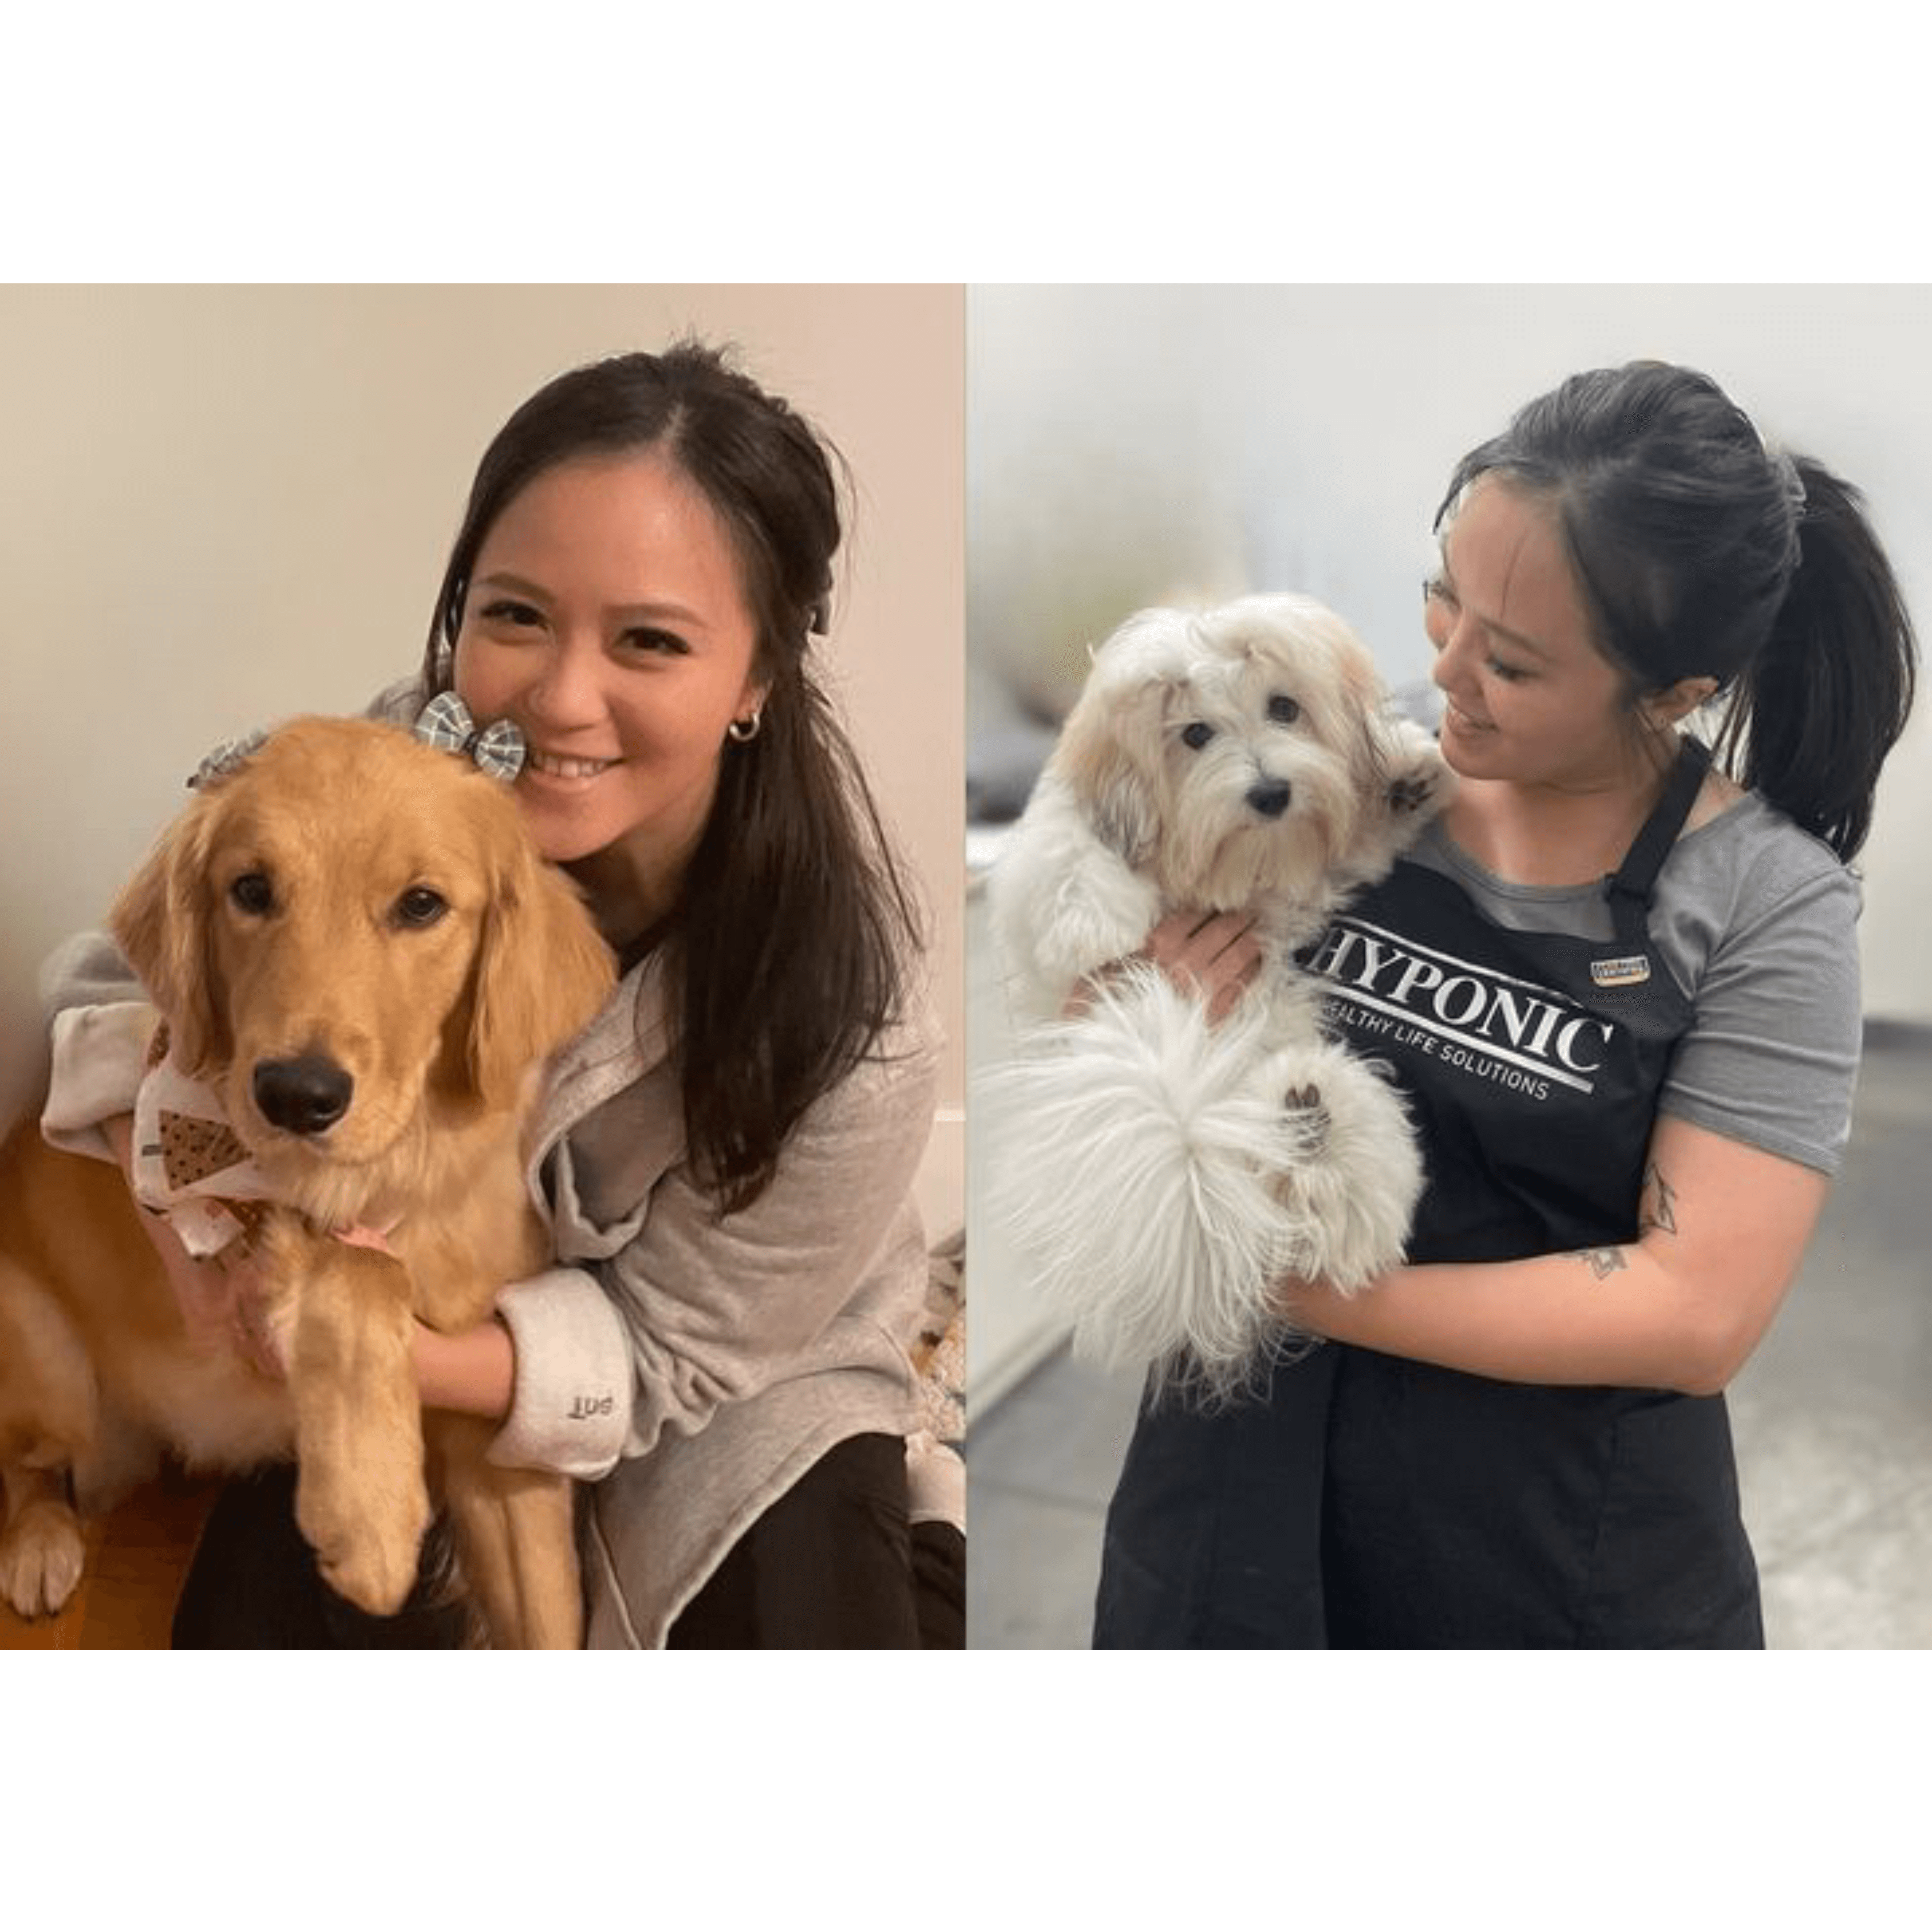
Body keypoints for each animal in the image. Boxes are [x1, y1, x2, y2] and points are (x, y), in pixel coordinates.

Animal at [0, 718, 610, 1654]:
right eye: (250, 889)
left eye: (422, 904)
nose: (296, 1095)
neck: (404, 1166)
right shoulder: (232, 1196)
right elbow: (362, 1266)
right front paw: (370, 1517)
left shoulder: (498, 1452)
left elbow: (548, 1618)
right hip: (47, 1364)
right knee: (25, 1466)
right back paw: (39, 1543)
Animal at [997, 591, 1453, 1406]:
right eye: (1195, 734)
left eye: (1284, 708)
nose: (1270, 791)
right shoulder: (1051, 854)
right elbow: (1067, 847)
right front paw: (1094, 918)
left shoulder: (1310, 881)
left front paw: (1405, 777)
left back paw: (1313, 1131)